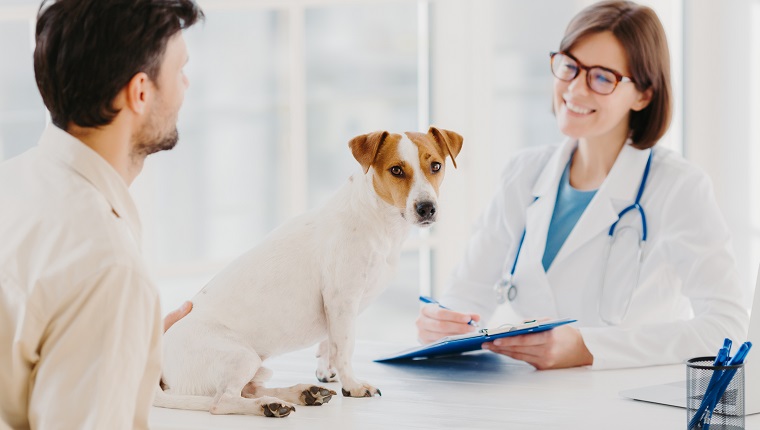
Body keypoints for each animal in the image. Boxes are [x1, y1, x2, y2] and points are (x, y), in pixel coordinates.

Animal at [154, 127, 460, 416]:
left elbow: (330, 342)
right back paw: (269, 406)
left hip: (259, 366)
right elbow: (344, 347)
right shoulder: (342, 299)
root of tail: (162, 372)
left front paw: (327, 372)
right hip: (242, 357)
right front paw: (353, 385)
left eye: (435, 166)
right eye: (396, 170)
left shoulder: (335, 307)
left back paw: (302, 393)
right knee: (222, 401)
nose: (427, 208)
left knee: (250, 389)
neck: (375, 218)